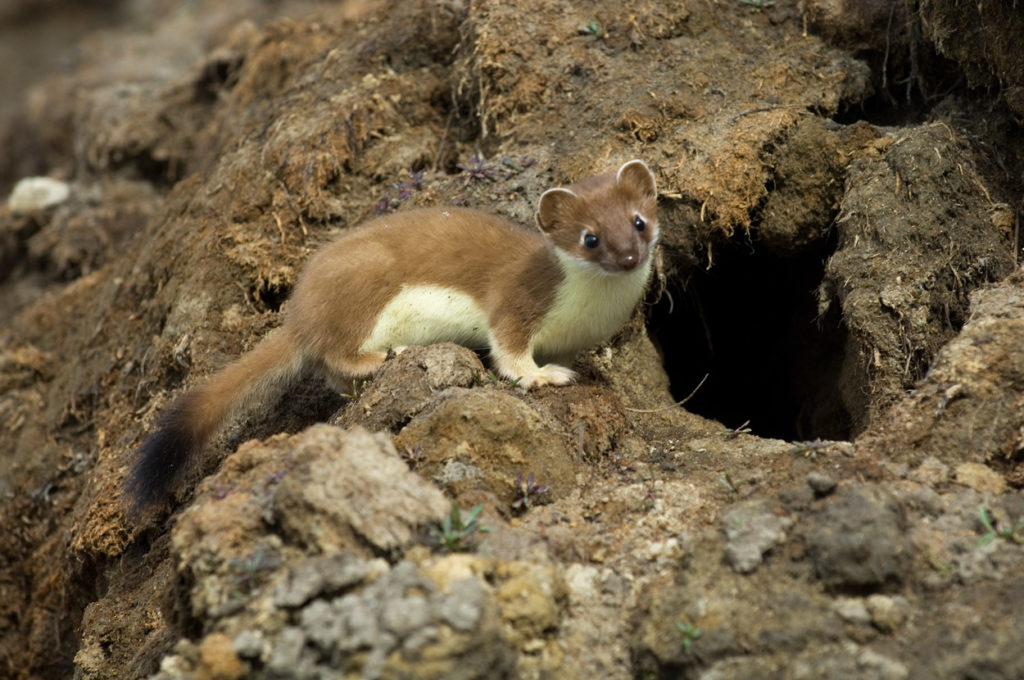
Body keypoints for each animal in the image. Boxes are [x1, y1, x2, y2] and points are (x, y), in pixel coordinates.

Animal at [125, 160, 655, 510]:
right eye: (590, 237)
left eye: (639, 221)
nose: (629, 256)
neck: (590, 311)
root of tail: (300, 311)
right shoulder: (515, 301)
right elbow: (509, 350)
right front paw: (544, 376)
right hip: (365, 285)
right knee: (335, 352)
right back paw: (385, 355)